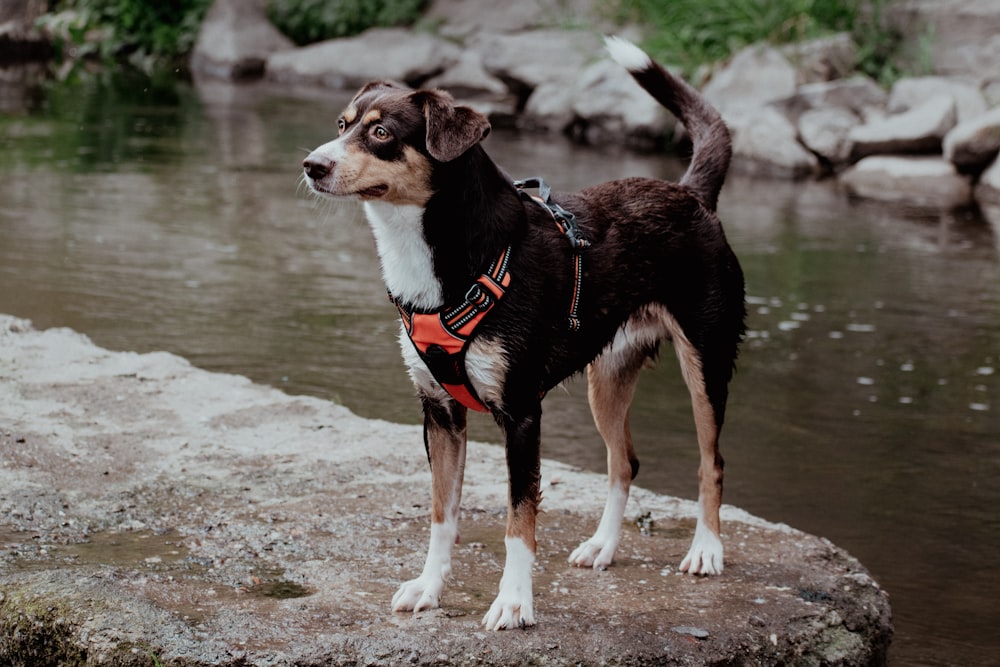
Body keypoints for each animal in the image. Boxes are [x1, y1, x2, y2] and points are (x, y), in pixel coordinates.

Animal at [300, 37, 748, 632]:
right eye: (342, 123)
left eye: (381, 133)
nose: (312, 165)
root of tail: (689, 192)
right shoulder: (440, 412)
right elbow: (442, 514)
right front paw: (429, 587)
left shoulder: (521, 414)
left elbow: (519, 523)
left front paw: (514, 603)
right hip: (607, 380)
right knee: (623, 462)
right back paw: (603, 546)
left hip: (707, 360)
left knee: (711, 461)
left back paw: (706, 550)